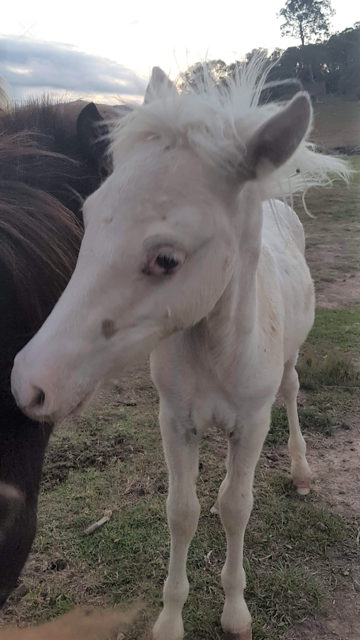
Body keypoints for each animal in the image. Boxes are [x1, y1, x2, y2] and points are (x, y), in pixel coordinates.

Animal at [12, 61, 350, 640]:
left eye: (167, 258)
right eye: (87, 215)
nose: (29, 384)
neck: (213, 349)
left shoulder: (252, 422)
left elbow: (238, 507)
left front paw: (235, 612)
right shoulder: (175, 419)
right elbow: (183, 511)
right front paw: (170, 618)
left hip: (286, 369)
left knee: (291, 393)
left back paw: (302, 471)